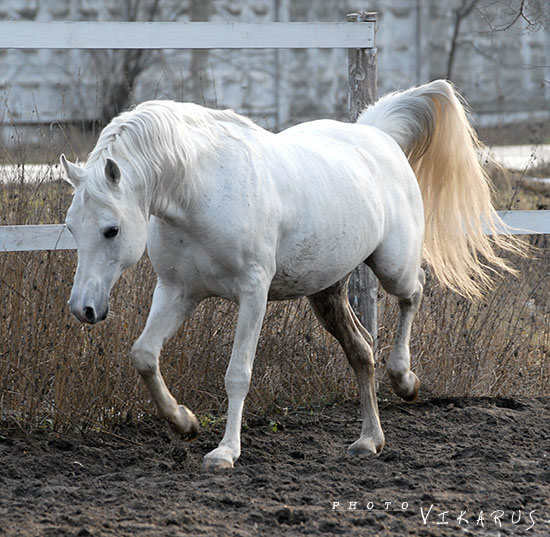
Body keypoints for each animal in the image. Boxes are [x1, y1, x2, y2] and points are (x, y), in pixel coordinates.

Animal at [61, 80, 520, 468]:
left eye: (111, 229)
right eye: (71, 227)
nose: (84, 308)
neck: (201, 189)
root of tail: (379, 135)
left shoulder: (253, 294)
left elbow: (238, 374)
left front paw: (225, 452)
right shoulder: (178, 291)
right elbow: (144, 355)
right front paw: (184, 422)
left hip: (393, 266)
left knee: (414, 293)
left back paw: (405, 379)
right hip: (327, 292)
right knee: (362, 351)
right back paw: (369, 440)